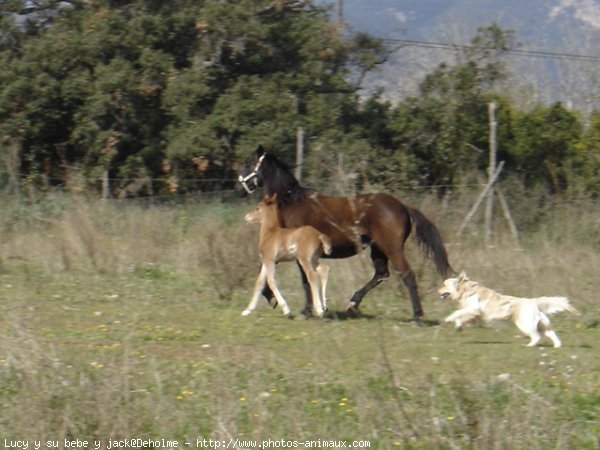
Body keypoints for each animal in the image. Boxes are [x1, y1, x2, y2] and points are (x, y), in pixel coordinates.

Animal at [237, 145, 452, 320]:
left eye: (248, 164)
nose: (238, 189)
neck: (291, 202)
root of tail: (403, 206)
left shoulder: (297, 253)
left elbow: (304, 280)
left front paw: (302, 309)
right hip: (378, 249)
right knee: (381, 273)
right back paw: (352, 303)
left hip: (392, 248)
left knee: (407, 275)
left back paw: (417, 316)